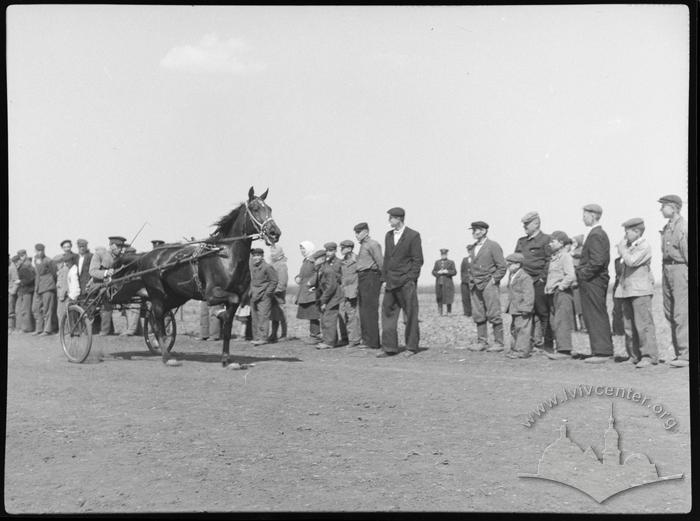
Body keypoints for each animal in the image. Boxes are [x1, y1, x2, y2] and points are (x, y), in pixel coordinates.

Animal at [113, 188, 280, 366]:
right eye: (255, 208)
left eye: (270, 208)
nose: (275, 233)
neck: (226, 256)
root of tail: (145, 256)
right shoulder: (211, 294)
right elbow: (230, 302)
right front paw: (219, 314)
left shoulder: (239, 295)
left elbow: (229, 324)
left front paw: (226, 358)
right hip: (157, 294)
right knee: (157, 321)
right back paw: (166, 357)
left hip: (175, 296)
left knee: (161, 319)